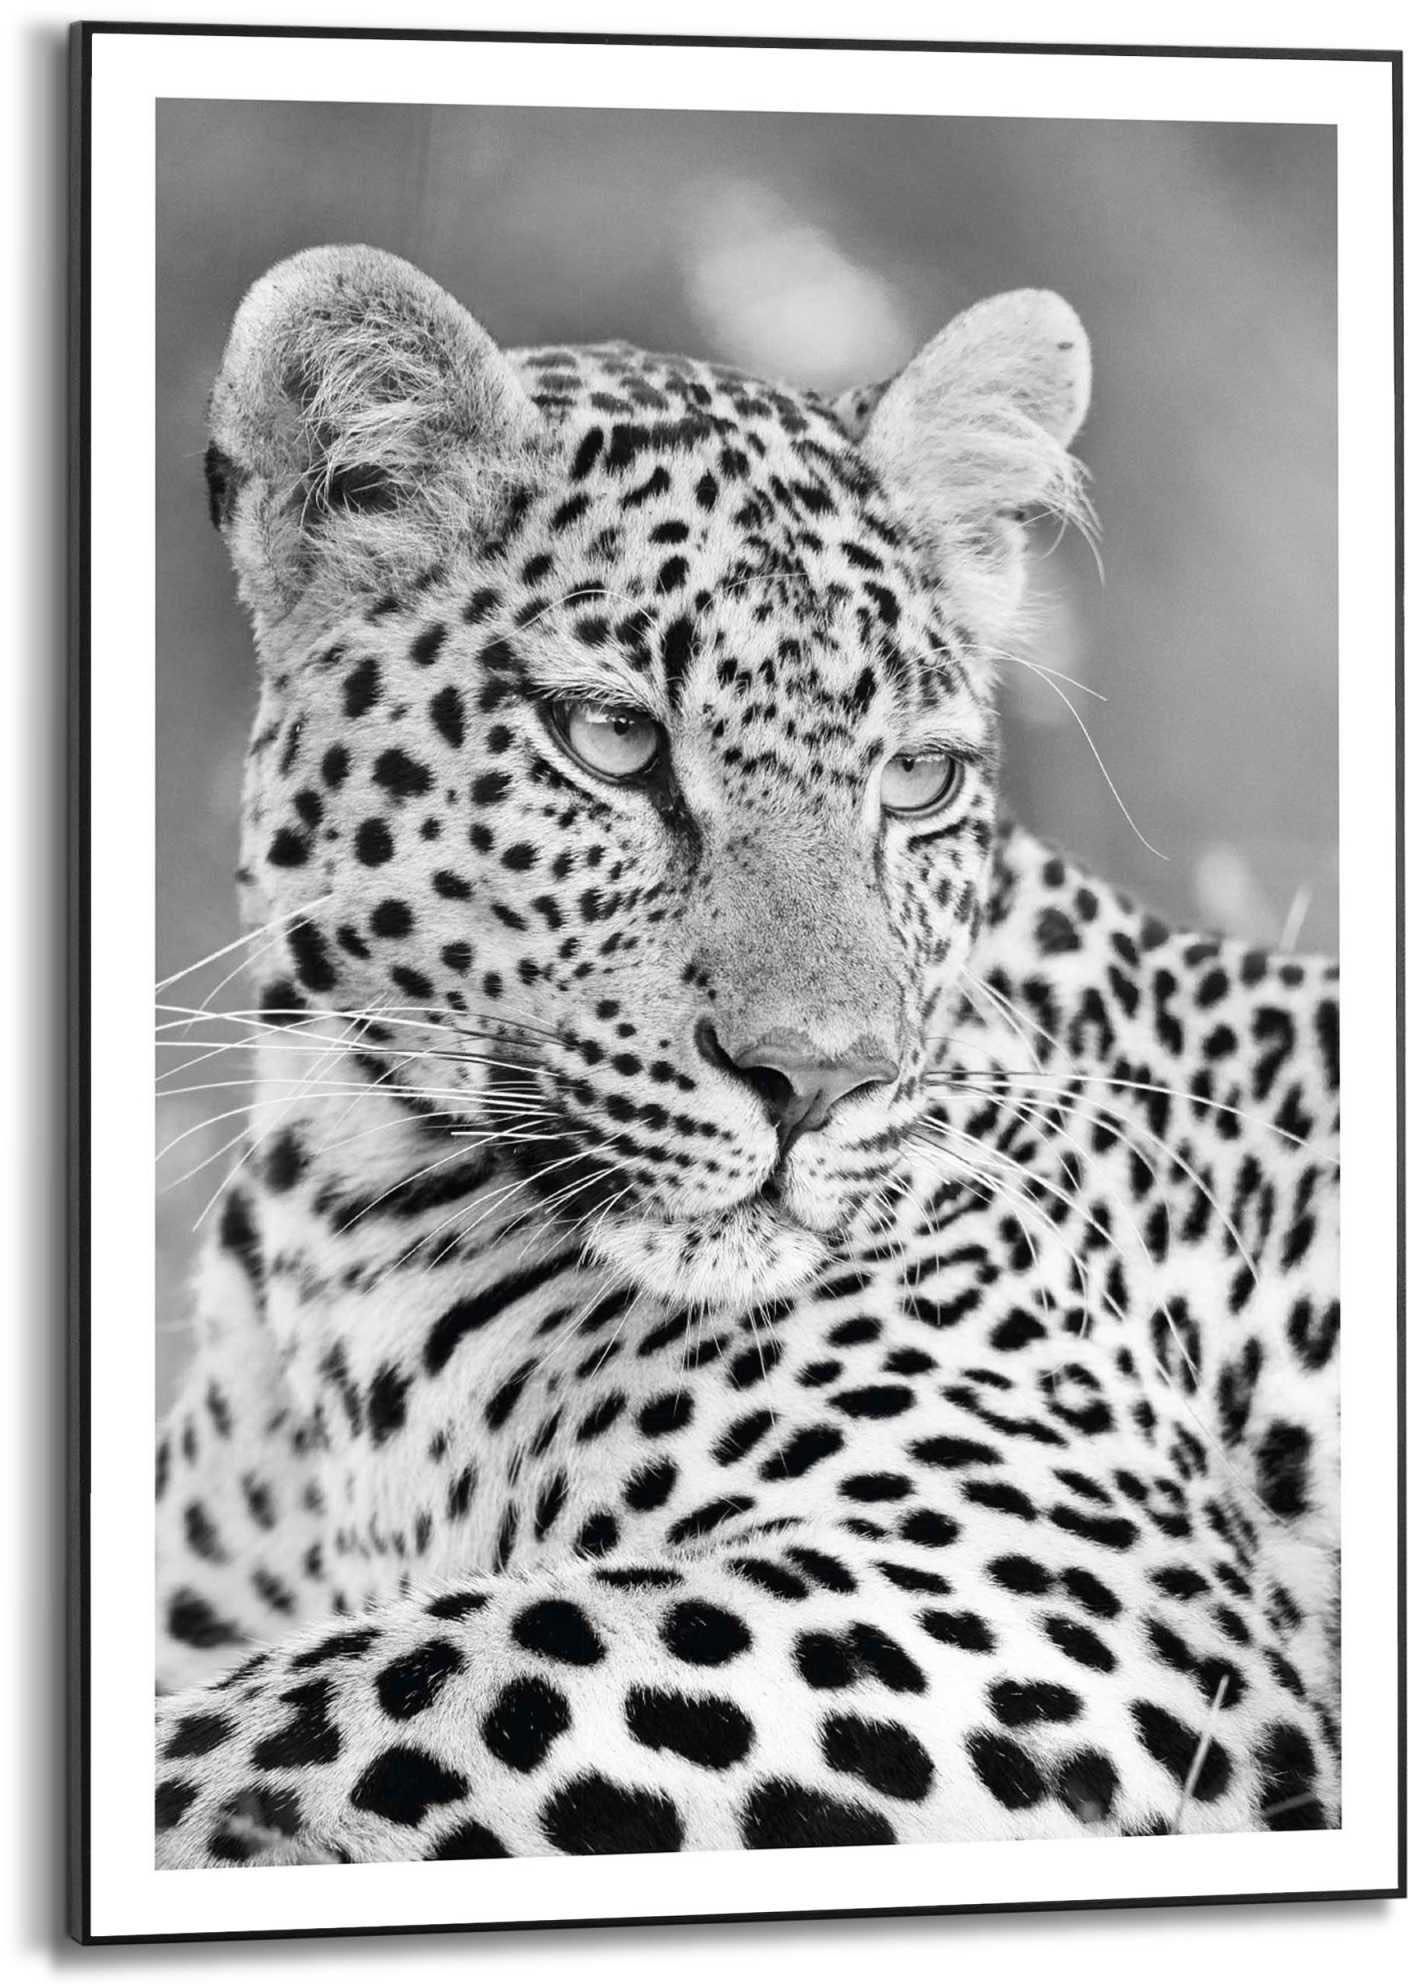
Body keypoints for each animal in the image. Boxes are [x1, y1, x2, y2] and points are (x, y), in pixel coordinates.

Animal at [152, 244, 1340, 1869]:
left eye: (918, 780)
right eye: (609, 740)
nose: (820, 1081)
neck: (345, 1230)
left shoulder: (1059, 1572)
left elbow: (366, 1691)